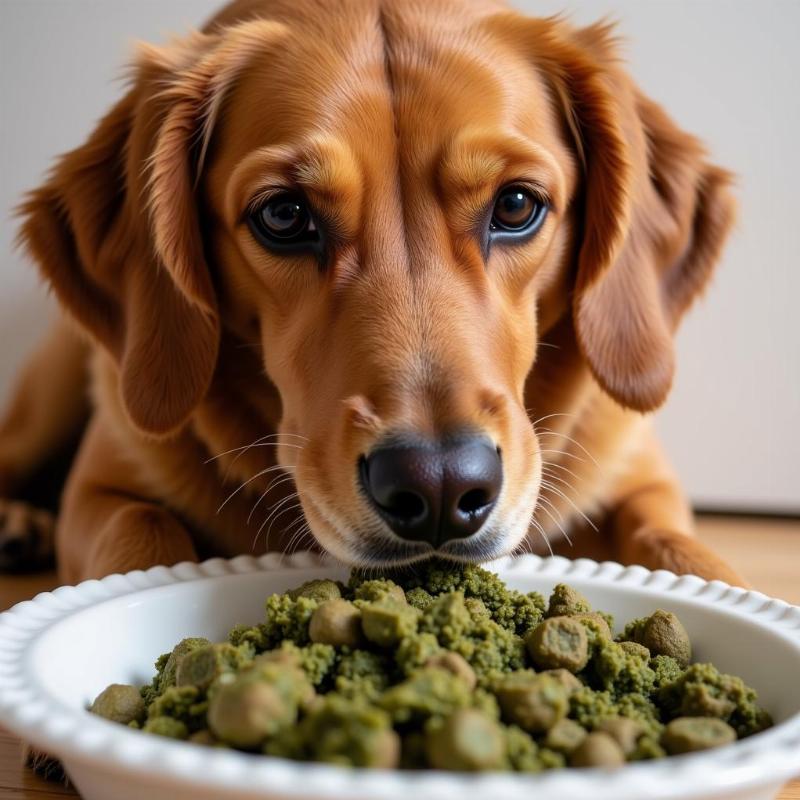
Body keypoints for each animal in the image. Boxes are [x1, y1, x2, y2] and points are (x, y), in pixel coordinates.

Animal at [0, 0, 748, 588]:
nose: (440, 486)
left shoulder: (645, 487)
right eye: (283, 215)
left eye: (516, 205)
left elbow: (681, 548)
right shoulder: (102, 490)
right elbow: (141, 534)